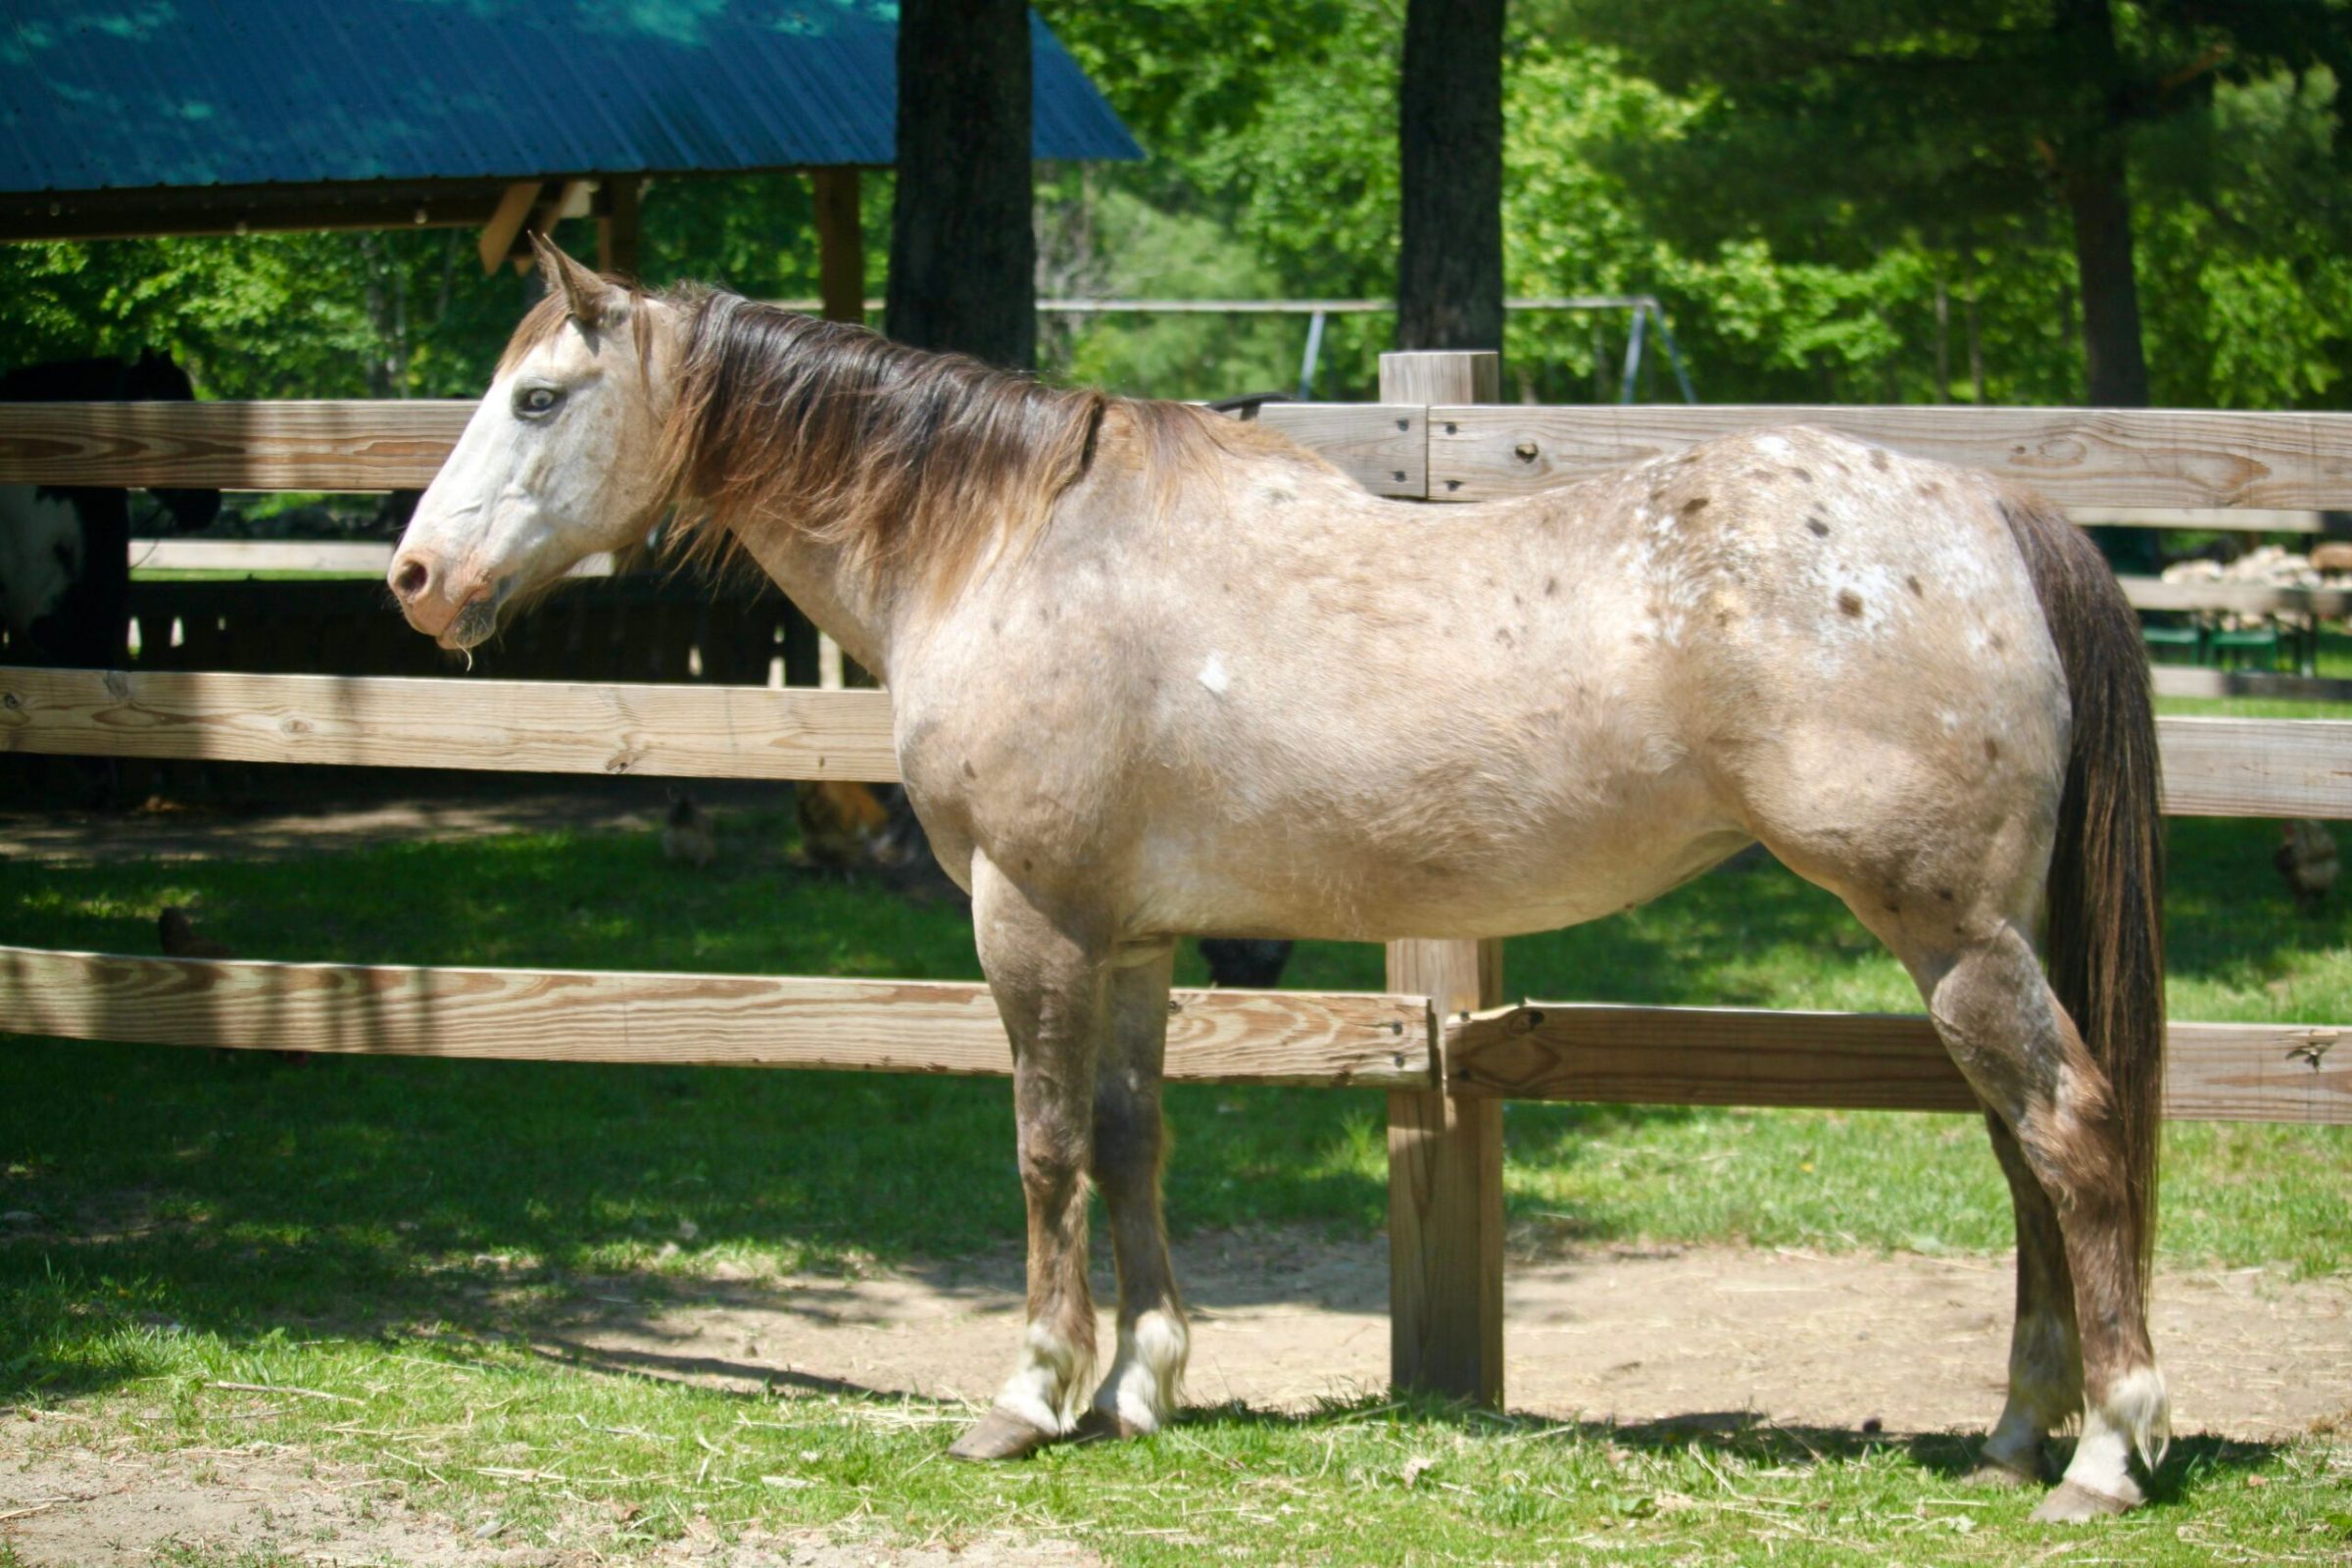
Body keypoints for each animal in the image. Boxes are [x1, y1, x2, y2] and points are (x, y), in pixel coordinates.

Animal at [387, 239, 2168, 1522]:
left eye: (539, 398)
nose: (415, 578)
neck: (1013, 547)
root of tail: (1993, 510)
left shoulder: (1028, 919)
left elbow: (1043, 1150)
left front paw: (1029, 1395)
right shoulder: (1133, 940)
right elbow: (1131, 1141)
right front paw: (1143, 1383)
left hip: (1950, 932)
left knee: (2072, 1134)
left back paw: (2103, 1451)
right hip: (1973, 940)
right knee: (2024, 1154)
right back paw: (2017, 1432)